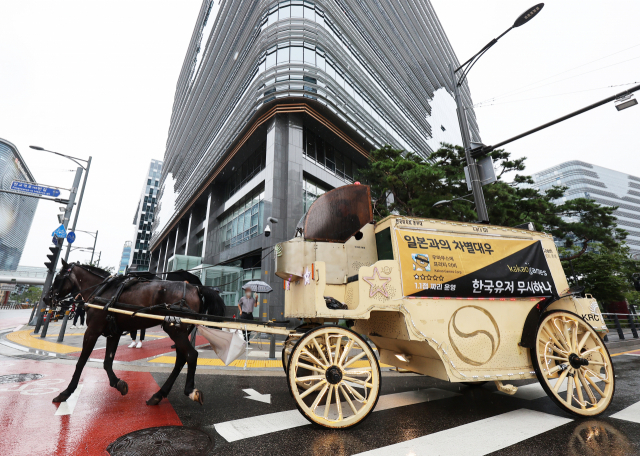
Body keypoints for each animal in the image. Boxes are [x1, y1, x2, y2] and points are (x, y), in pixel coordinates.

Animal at [45, 260, 225, 406]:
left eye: (58, 277)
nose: (46, 298)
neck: (101, 290)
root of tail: (196, 288)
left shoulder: (92, 331)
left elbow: (81, 362)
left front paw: (65, 393)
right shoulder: (113, 333)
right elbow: (107, 362)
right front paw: (118, 383)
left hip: (175, 329)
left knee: (191, 355)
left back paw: (190, 391)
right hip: (179, 330)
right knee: (181, 359)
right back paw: (158, 395)